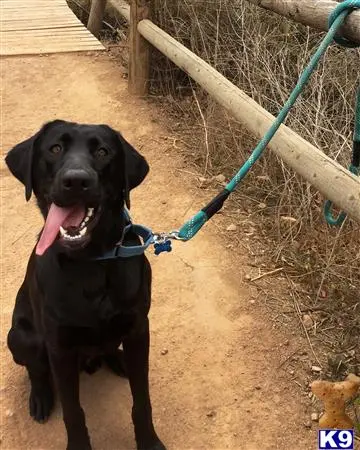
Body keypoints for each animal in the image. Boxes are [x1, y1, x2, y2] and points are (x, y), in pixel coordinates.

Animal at [4, 120, 165, 450]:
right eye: (54, 148)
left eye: (103, 152)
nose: (76, 181)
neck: (90, 263)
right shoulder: (60, 348)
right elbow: (73, 412)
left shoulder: (139, 328)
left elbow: (141, 401)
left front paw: (149, 442)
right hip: (21, 337)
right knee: (36, 370)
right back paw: (40, 398)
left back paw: (118, 361)